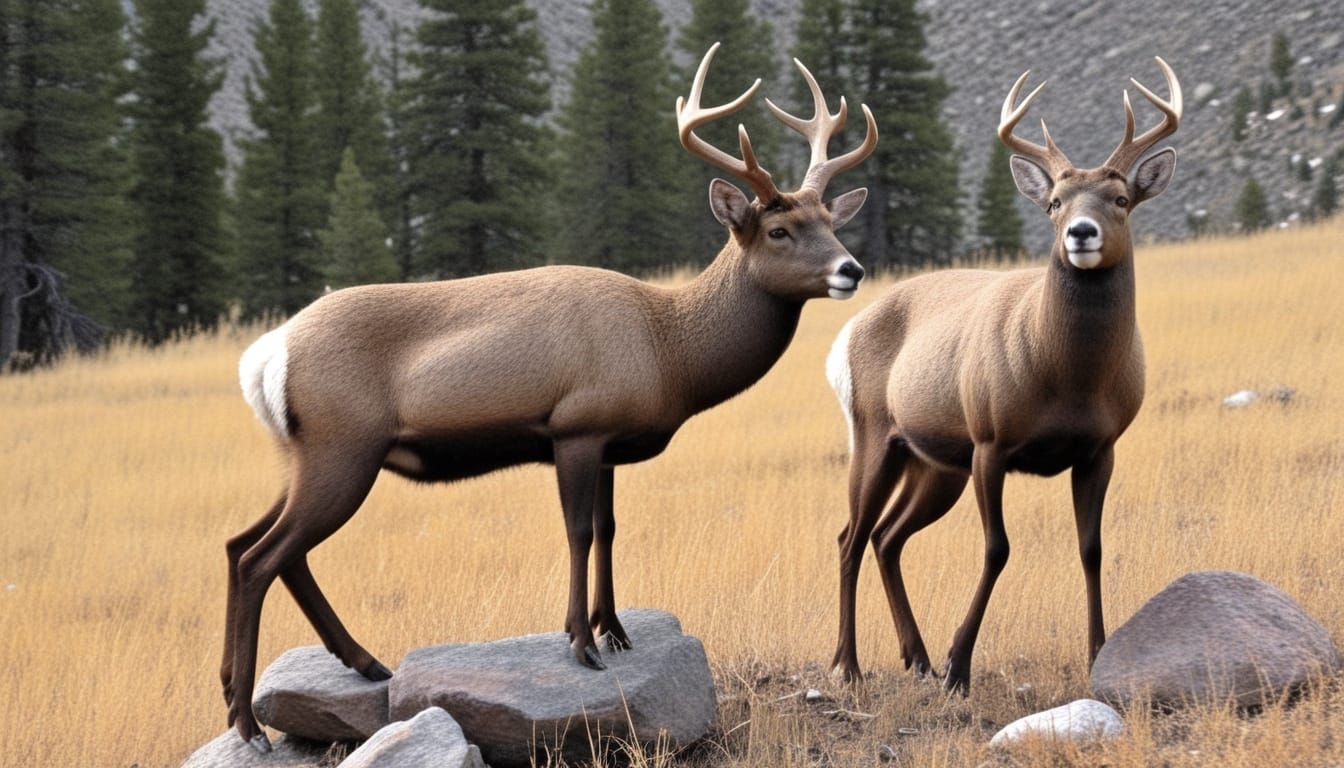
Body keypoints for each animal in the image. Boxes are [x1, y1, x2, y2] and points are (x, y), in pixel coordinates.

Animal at [222, 43, 878, 752]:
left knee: (247, 544)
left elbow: (611, 528)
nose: (851, 269)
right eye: (780, 230)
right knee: (261, 556)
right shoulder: (576, 426)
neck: (669, 353)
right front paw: (582, 644)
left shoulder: (613, 440)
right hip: (343, 446)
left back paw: (337, 669)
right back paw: (249, 722)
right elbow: (579, 530)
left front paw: (615, 630)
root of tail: (267, 355)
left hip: (306, 454)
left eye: (829, 219)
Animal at [825, 58, 1181, 694]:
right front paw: (959, 666)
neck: (1069, 379)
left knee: (888, 538)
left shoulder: (1100, 448)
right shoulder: (990, 441)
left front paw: (1097, 652)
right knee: (851, 536)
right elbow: (997, 549)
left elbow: (1091, 548)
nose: (1081, 232)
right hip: (873, 432)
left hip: (934, 462)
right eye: (1056, 201)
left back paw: (915, 658)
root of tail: (845, 335)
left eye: (1120, 198)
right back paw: (850, 665)